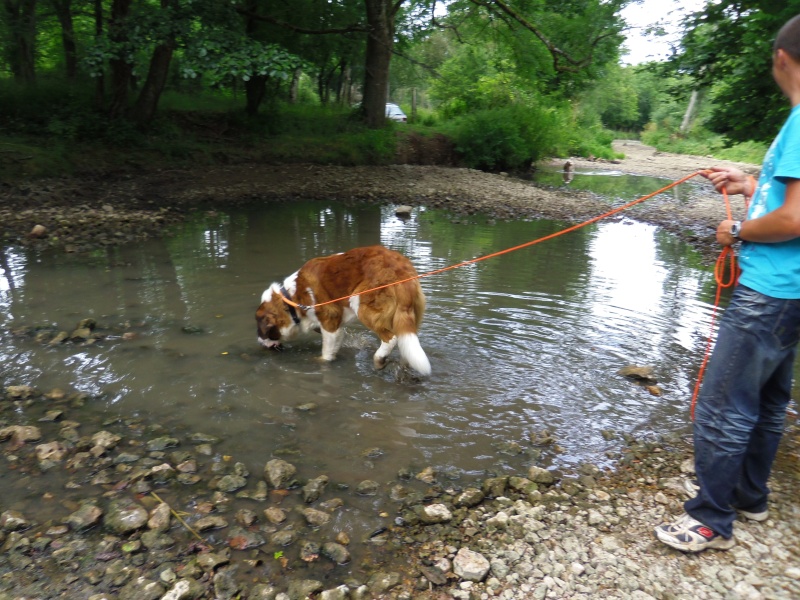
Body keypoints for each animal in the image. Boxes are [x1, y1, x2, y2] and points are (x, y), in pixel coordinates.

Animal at [256, 244, 432, 376]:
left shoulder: (329, 320)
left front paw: (321, 362)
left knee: (391, 338)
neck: (291, 299)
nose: (259, 341)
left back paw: (379, 359)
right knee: (405, 342)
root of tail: (401, 270)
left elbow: (327, 351)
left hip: (360, 303)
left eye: (262, 331)